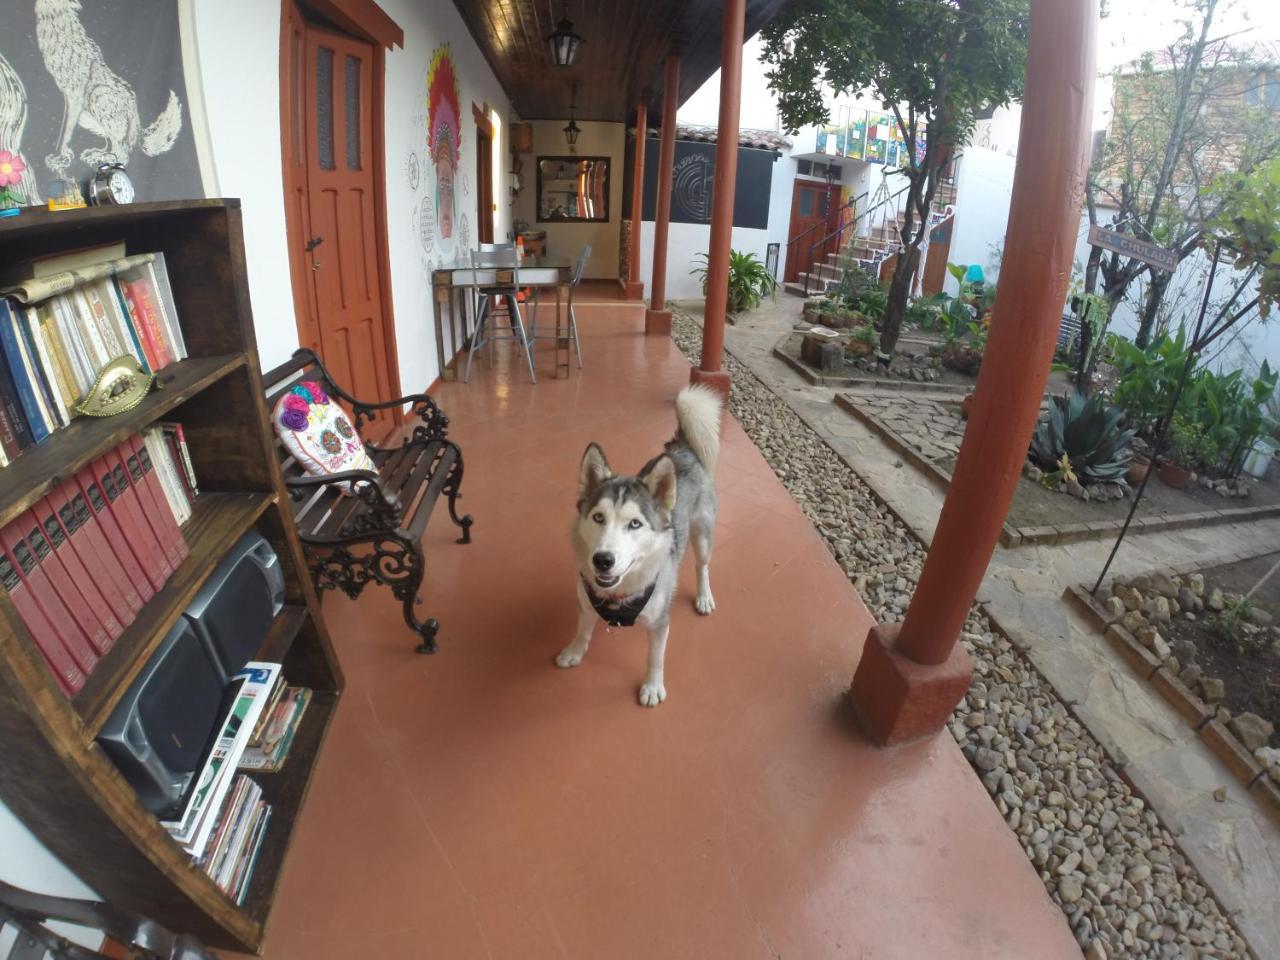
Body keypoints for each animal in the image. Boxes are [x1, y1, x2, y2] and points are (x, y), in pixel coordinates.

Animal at [558, 384, 727, 706]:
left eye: (635, 524)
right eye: (598, 517)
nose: (603, 560)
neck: (620, 594)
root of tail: (682, 447)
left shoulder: (660, 622)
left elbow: (655, 658)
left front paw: (652, 686)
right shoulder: (585, 602)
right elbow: (582, 630)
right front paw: (574, 651)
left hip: (702, 536)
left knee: (703, 566)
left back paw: (704, 596)